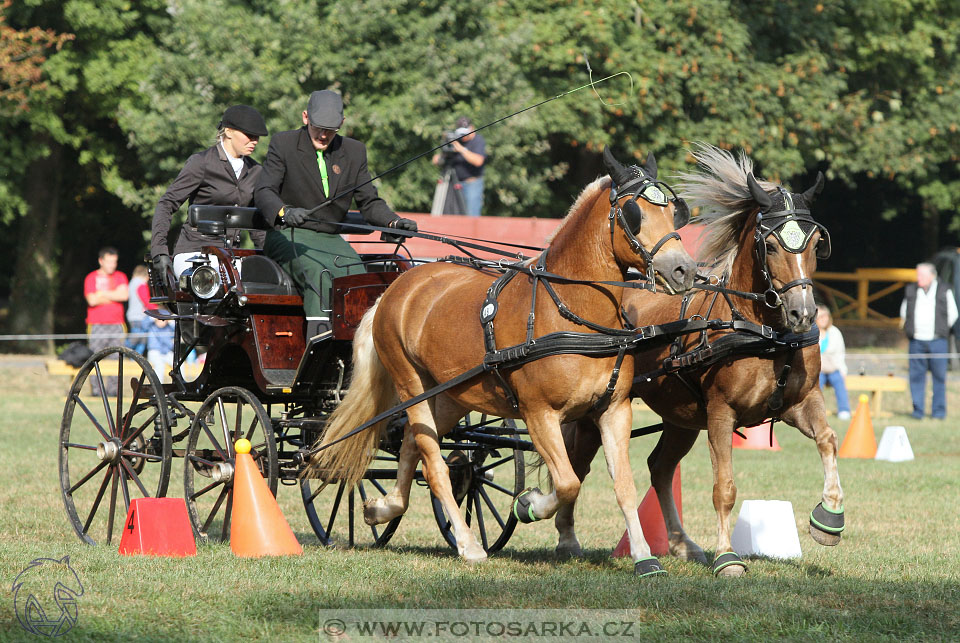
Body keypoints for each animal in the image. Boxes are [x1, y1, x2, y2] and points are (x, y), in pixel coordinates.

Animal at [310, 150, 696, 572]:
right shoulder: (538, 413)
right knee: (434, 462)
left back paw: (383, 509)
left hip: (450, 396)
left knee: (414, 445)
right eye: (633, 213)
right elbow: (567, 482)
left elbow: (623, 484)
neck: (570, 312)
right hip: (410, 384)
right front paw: (528, 504)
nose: (684, 269)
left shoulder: (614, 408)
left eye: (674, 212)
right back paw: (468, 544)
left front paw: (644, 557)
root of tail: (398, 287)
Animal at [552, 146, 844, 580]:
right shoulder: (722, 413)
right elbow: (724, 488)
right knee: (577, 465)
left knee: (659, 467)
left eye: (815, 245)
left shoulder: (800, 401)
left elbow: (828, 439)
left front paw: (829, 519)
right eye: (771, 246)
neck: (764, 331)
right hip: (596, 410)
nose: (804, 313)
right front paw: (728, 557)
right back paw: (565, 535)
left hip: (682, 417)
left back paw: (682, 544)